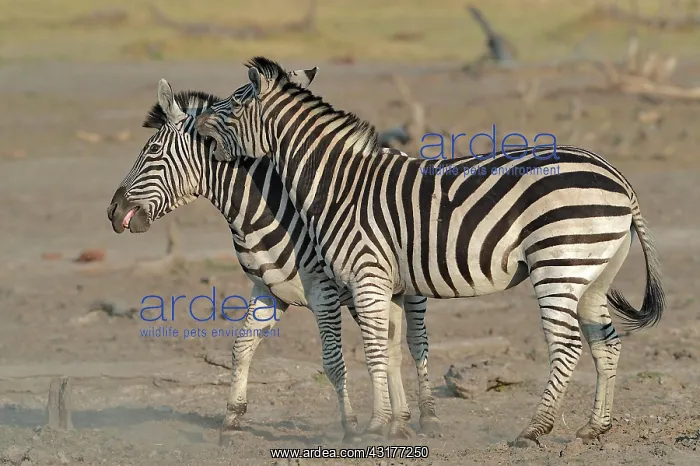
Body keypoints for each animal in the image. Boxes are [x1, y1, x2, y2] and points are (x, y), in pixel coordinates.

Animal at [105, 70, 440, 441]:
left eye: (151, 150)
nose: (112, 211)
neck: (255, 213)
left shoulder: (323, 294)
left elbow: (334, 361)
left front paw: (350, 425)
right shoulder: (268, 291)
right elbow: (241, 347)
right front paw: (232, 416)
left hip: (404, 285)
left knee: (416, 342)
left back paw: (426, 415)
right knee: (389, 347)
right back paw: (400, 421)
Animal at [193, 56, 665, 446]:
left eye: (234, 105)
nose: (198, 126)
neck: (339, 185)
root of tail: (616, 175)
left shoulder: (367, 275)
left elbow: (375, 352)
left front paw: (374, 427)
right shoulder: (385, 282)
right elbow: (388, 349)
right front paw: (390, 423)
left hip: (558, 263)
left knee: (566, 346)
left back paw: (534, 430)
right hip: (592, 275)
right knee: (606, 343)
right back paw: (595, 427)